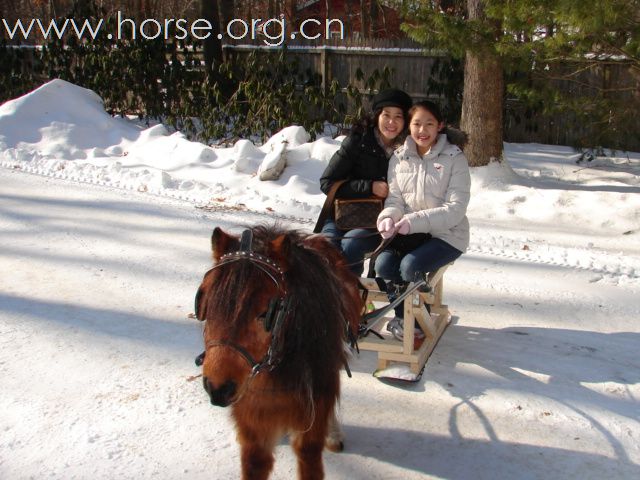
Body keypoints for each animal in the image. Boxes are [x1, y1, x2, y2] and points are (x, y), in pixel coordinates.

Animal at [195, 225, 362, 480]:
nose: (218, 388)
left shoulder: (313, 410)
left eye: (267, 313)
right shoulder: (253, 420)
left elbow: (310, 458)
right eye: (207, 302)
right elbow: (255, 463)